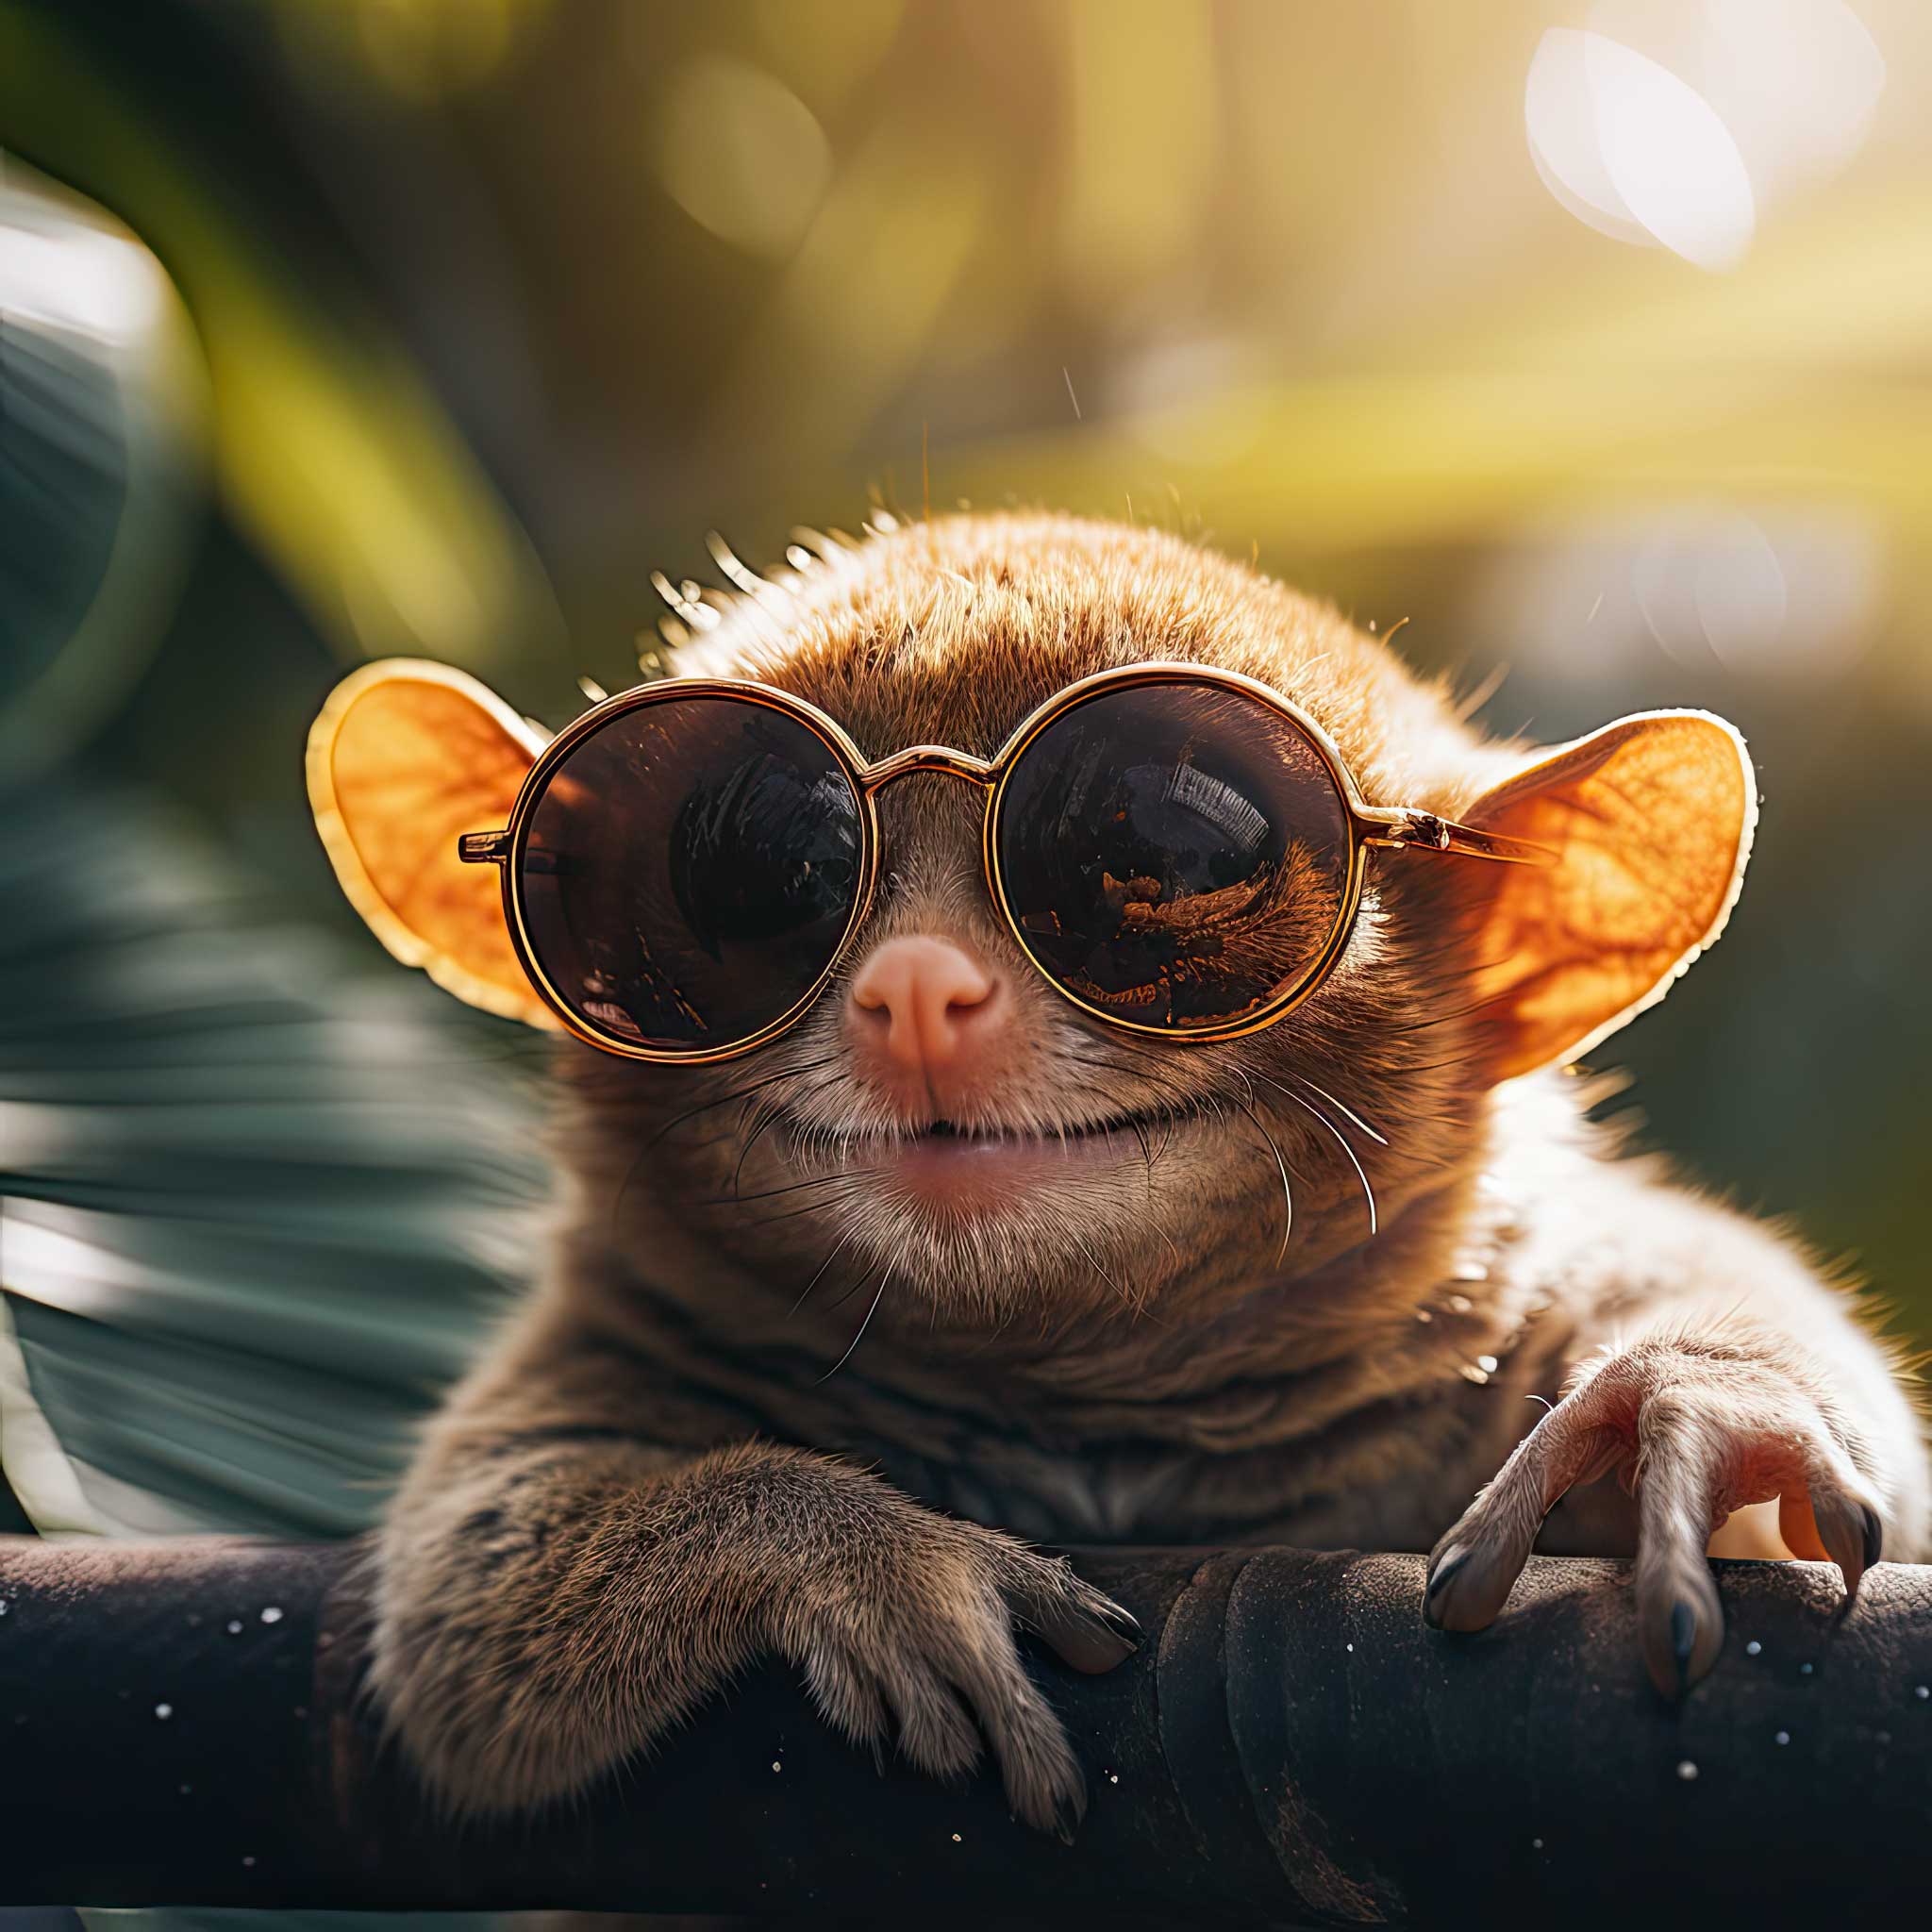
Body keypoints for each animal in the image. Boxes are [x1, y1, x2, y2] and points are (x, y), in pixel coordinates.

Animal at [307, 509, 1929, 1838]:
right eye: (741, 869)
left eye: (1172, 843)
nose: (915, 990)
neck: (1094, 1418)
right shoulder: (607, 1339)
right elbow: (464, 1627)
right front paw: (880, 1565)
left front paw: (1694, 1405)